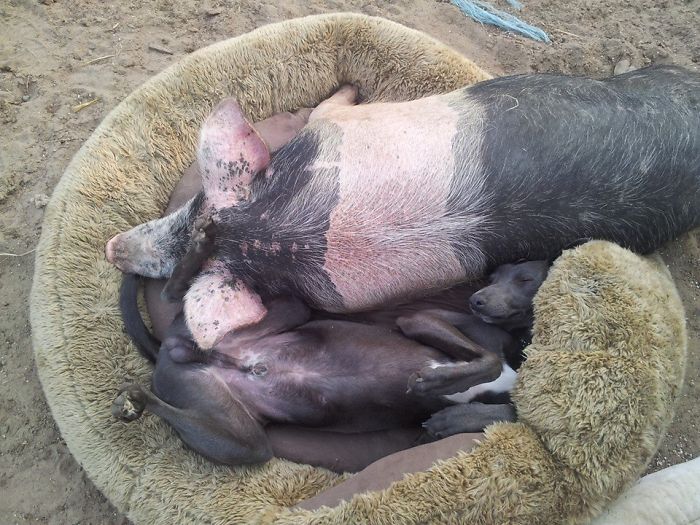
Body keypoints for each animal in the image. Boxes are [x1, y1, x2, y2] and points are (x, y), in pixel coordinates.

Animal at [107, 65, 700, 350]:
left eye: (195, 204)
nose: (113, 248)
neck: (278, 232)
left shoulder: (336, 129)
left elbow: (328, 107)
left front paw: (349, 83)